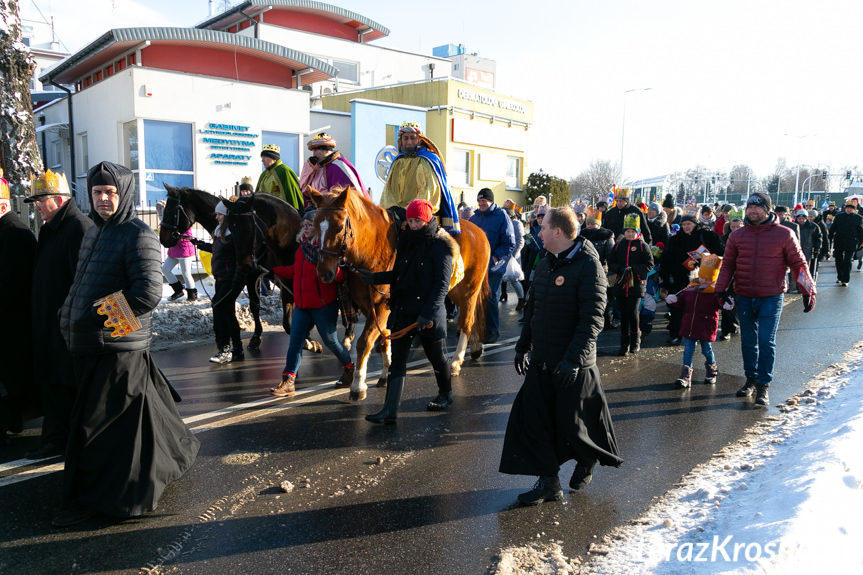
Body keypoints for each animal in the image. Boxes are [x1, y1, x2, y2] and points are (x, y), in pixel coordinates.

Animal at [310, 187, 490, 402]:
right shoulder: (370, 306)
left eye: (338, 227)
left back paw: (456, 362)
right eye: (315, 225)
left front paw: (358, 385)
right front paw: (385, 373)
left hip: (469, 291)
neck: (373, 249)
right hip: (454, 292)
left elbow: (365, 342)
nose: (324, 273)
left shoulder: (382, 305)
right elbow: (384, 338)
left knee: (467, 323)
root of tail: (480, 231)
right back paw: (475, 348)